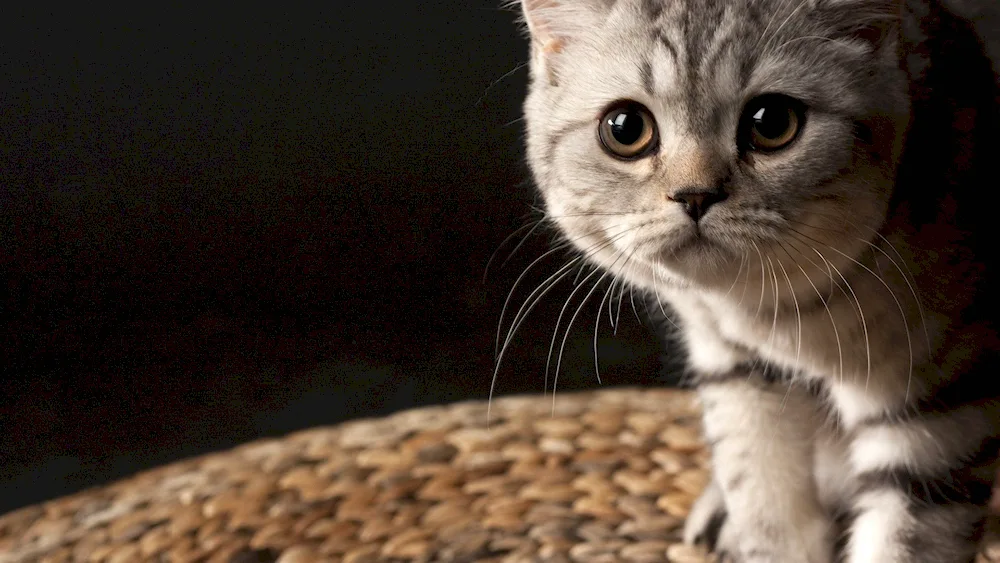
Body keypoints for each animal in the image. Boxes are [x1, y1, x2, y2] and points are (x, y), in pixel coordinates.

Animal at [512, 0, 1000, 560]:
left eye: (772, 122)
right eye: (625, 128)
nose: (695, 194)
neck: (778, 314)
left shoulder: (938, 406)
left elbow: (901, 538)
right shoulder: (737, 372)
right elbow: (765, 504)